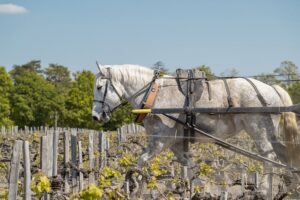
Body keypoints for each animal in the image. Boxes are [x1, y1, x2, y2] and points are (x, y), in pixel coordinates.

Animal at [91, 63, 300, 197]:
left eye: (100, 87)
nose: (95, 116)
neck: (153, 94)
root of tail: (272, 88)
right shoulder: (176, 144)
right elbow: (190, 167)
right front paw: (200, 190)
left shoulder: (160, 140)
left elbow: (140, 162)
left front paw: (134, 184)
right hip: (270, 133)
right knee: (284, 155)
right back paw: (292, 186)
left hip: (258, 130)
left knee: (269, 157)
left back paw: (265, 191)